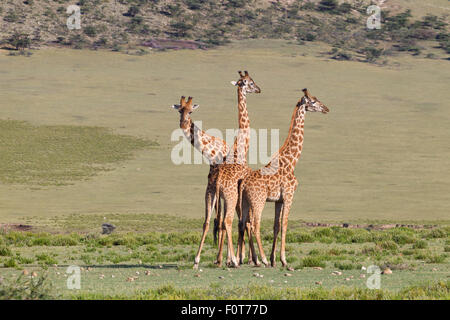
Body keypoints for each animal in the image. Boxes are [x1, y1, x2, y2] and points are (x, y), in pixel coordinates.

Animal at [192, 71, 260, 268]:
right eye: (250, 82)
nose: (259, 89)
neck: (240, 148)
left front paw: (229, 257)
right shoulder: (239, 195)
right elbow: (242, 222)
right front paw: (239, 257)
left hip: (211, 195)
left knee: (210, 221)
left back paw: (202, 259)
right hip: (229, 196)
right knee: (228, 221)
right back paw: (236, 260)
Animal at [237, 89, 328, 266]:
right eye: (313, 101)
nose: (326, 109)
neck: (291, 161)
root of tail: (243, 183)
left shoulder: (278, 200)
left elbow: (276, 226)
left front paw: (274, 260)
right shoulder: (289, 195)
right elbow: (285, 225)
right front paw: (283, 260)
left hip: (245, 202)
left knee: (243, 223)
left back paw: (245, 260)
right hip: (258, 201)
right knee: (255, 225)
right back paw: (262, 259)